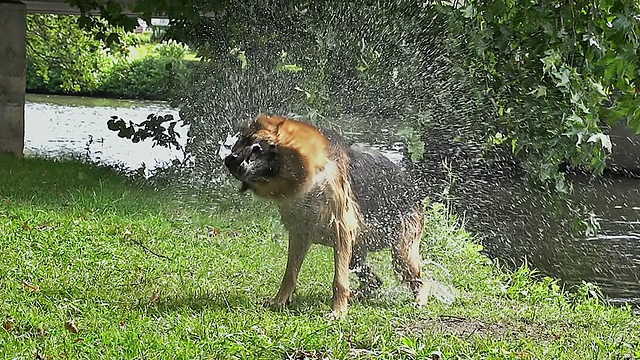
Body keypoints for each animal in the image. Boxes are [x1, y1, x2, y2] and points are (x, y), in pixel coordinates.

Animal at [224, 115, 430, 318]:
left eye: (256, 146)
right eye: (240, 141)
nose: (228, 159)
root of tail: (414, 192)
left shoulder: (341, 232)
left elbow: (339, 281)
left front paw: (338, 311)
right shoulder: (299, 234)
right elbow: (290, 273)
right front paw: (280, 301)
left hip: (400, 253)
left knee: (420, 281)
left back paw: (418, 301)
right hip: (356, 254)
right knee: (375, 281)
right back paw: (356, 296)